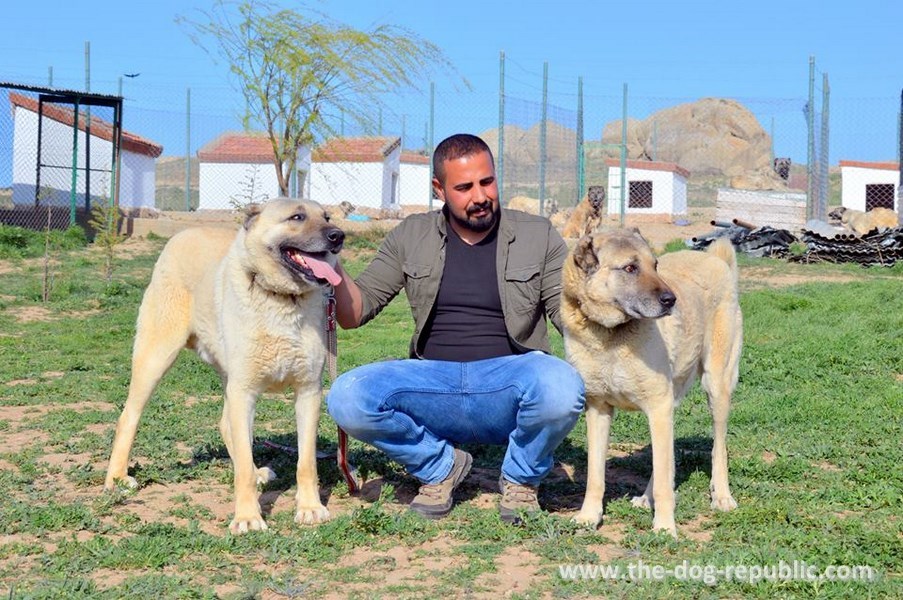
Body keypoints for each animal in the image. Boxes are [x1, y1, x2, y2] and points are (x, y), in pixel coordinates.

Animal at [105, 198, 346, 536]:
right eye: (297, 217)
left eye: (326, 216)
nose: (338, 236)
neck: (281, 299)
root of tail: (183, 233)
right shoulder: (244, 391)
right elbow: (242, 468)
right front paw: (247, 516)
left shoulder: (308, 391)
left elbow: (306, 462)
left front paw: (310, 507)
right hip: (156, 358)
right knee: (129, 416)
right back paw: (115, 477)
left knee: (225, 425)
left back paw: (258, 472)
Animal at [560, 227, 744, 536]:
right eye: (630, 268)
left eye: (655, 265)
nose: (671, 300)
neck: (611, 336)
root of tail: (715, 260)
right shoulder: (599, 410)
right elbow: (595, 476)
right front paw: (588, 516)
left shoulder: (658, 406)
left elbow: (664, 482)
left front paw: (665, 527)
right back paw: (646, 499)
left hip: (715, 387)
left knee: (718, 448)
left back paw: (721, 496)